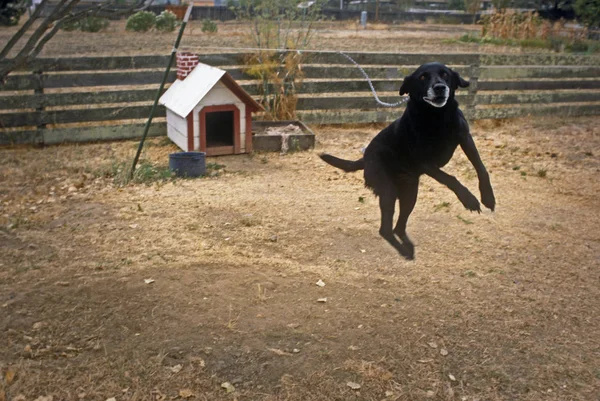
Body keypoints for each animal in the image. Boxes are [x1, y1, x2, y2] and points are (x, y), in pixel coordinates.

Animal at [322, 61, 494, 258]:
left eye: (445, 74)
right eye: (422, 77)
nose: (440, 87)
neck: (437, 118)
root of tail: (365, 158)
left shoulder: (465, 138)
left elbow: (481, 167)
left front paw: (488, 197)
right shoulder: (425, 161)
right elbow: (450, 178)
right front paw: (469, 199)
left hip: (410, 193)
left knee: (398, 227)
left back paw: (408, 247)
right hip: (388, 191)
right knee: (385, 229)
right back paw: (404, 251)